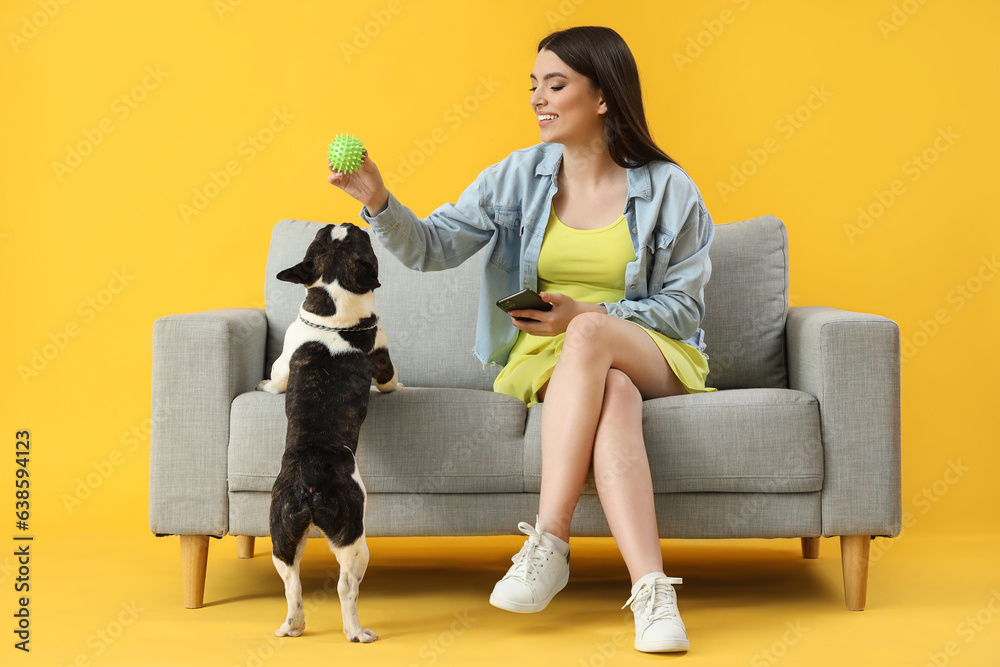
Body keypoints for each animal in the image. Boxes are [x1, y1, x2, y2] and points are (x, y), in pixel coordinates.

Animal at [256, 223, 400, 640]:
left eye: (320, 237)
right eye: (364, 242)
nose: (344, 223)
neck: (334, 311)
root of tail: (312, 470)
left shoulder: (285, 359)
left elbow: (278, 377)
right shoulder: (382, 356)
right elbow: (389, 380)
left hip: (282, 530)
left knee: (292, 582)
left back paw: (293, 625)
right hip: (353, 535)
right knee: (345, 587)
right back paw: (356, 631)